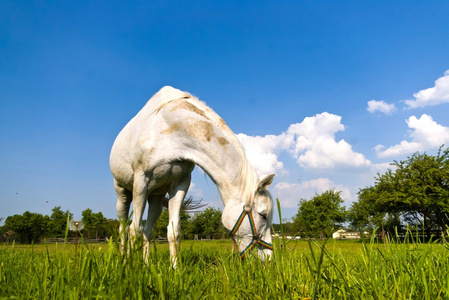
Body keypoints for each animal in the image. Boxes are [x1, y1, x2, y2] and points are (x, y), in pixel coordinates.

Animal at [110, 86, 274, 262]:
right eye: (263, 215)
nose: (269, 259)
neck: (170, 132)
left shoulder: (180, 184)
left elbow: (173, 232)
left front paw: (174, 267)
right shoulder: (141, 182)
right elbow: (134, 230)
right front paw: (131, 266)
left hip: (155, 197)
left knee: (147, 230)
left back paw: (147, 263)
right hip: (123, 193)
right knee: (124, 227)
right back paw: (124, 259)